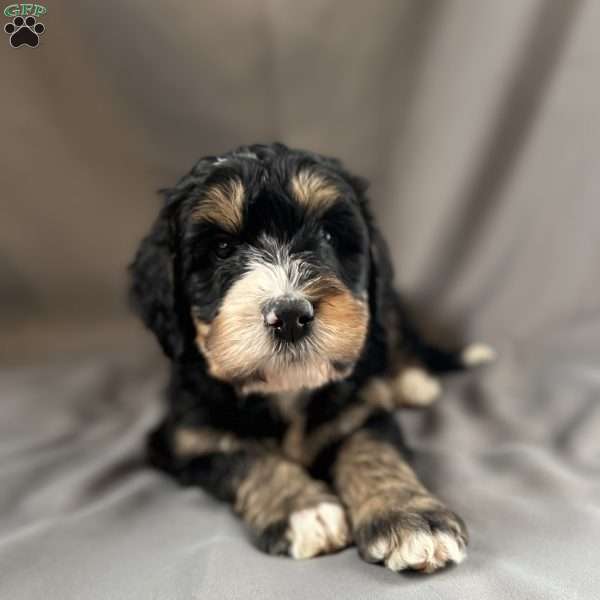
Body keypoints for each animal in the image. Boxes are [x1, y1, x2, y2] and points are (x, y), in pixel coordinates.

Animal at [129, 142, 494, 572]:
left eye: (327, 234)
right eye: (221, 249)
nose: (289, 315)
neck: (287, 389)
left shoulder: (359, 411)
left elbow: (373, 452)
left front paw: (413, 519)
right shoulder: (187, 438)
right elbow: (247, 457)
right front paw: (305, 512)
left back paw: (412, 381)